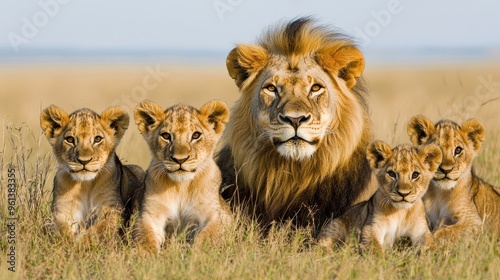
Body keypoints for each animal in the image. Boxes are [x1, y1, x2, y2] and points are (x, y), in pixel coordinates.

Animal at [40, 105, 145, 241]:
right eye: (70, 139)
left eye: (97, 139)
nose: (84, 161)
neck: (85, 185)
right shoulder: (62, 210)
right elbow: (61, 229)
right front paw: (67, 241)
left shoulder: (115, 210)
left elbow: (96, 231)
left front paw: (78, 241)